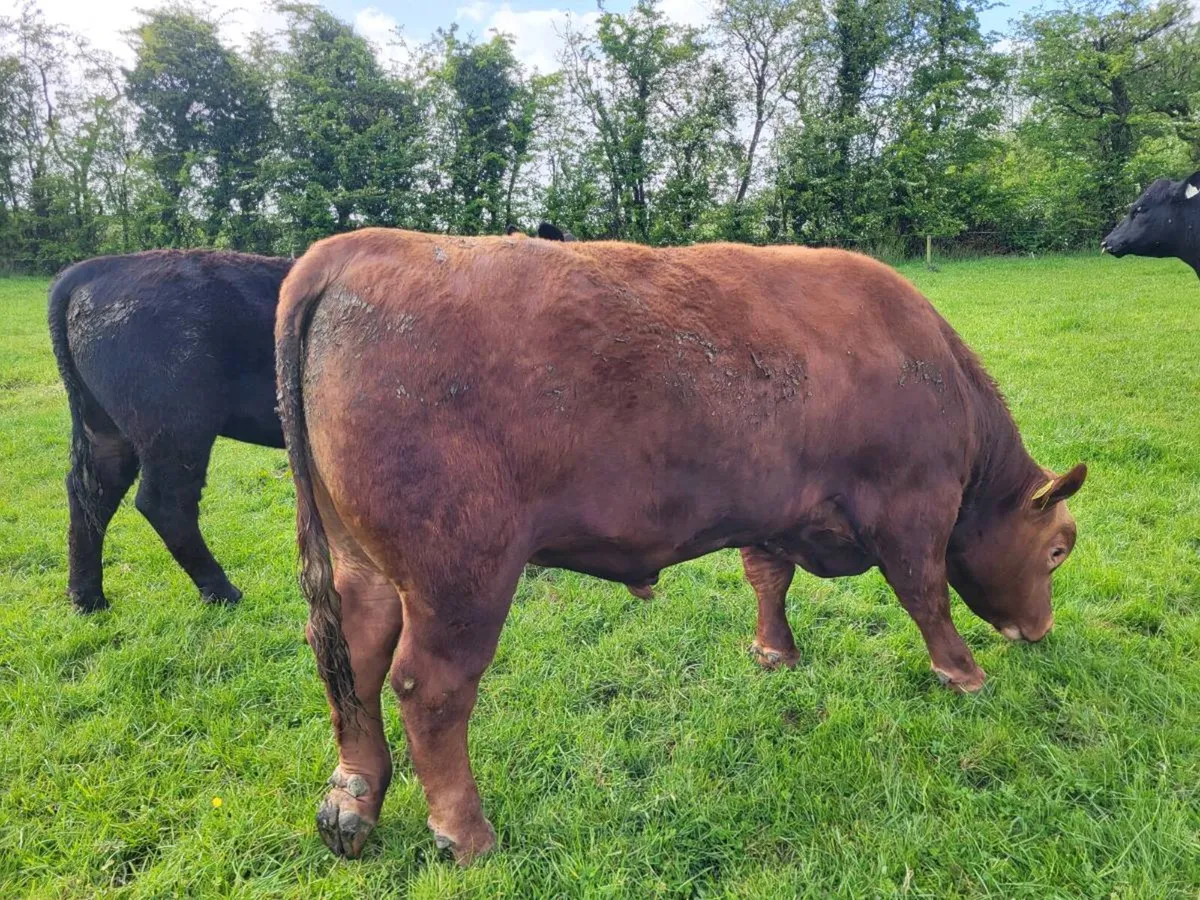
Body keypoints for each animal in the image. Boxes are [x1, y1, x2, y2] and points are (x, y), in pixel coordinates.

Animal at [48, 250, 293, 612]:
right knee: (164, 503)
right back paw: (221, 591)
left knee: (93, 495)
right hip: (179, 428)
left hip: (106, 429)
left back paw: (88, 598)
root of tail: (98, 267)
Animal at [275, 228, 1086, 862]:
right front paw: (964, 673)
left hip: (365, 566)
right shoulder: (912, 507)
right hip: (461, 575)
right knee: (430, 686)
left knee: (352, 660)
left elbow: (768, 576)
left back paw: (351, 804)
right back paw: (465, 833)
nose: (1039, 630)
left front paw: (775, 653)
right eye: (1057, 550)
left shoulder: (769, 509)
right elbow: (927, 595)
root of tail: (355, 248)